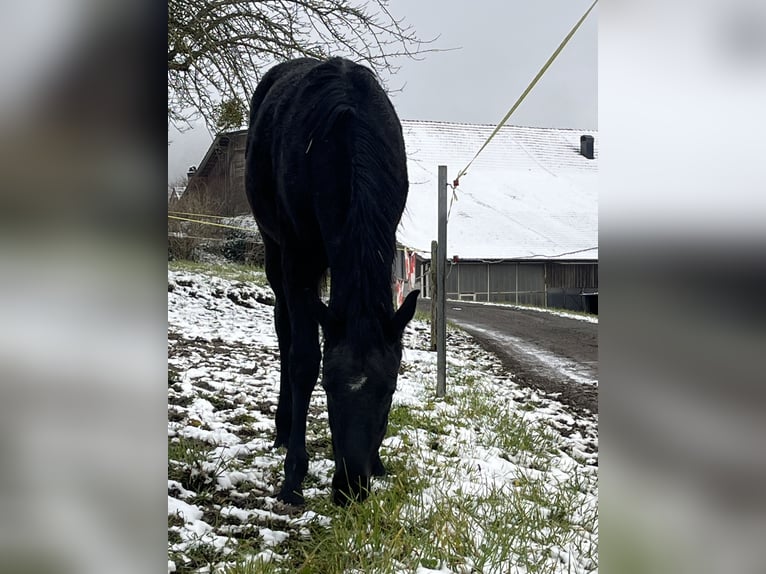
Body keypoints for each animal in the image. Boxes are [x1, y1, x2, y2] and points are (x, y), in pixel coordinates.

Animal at [246, 58, 420, 506]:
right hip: (275, 253)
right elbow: (304, 359)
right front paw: (293, 475)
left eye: (389, 390)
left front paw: (379, 463)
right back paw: (283, 428)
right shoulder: (297, 256)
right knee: (285, 330)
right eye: (328, 388)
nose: (350, 487)